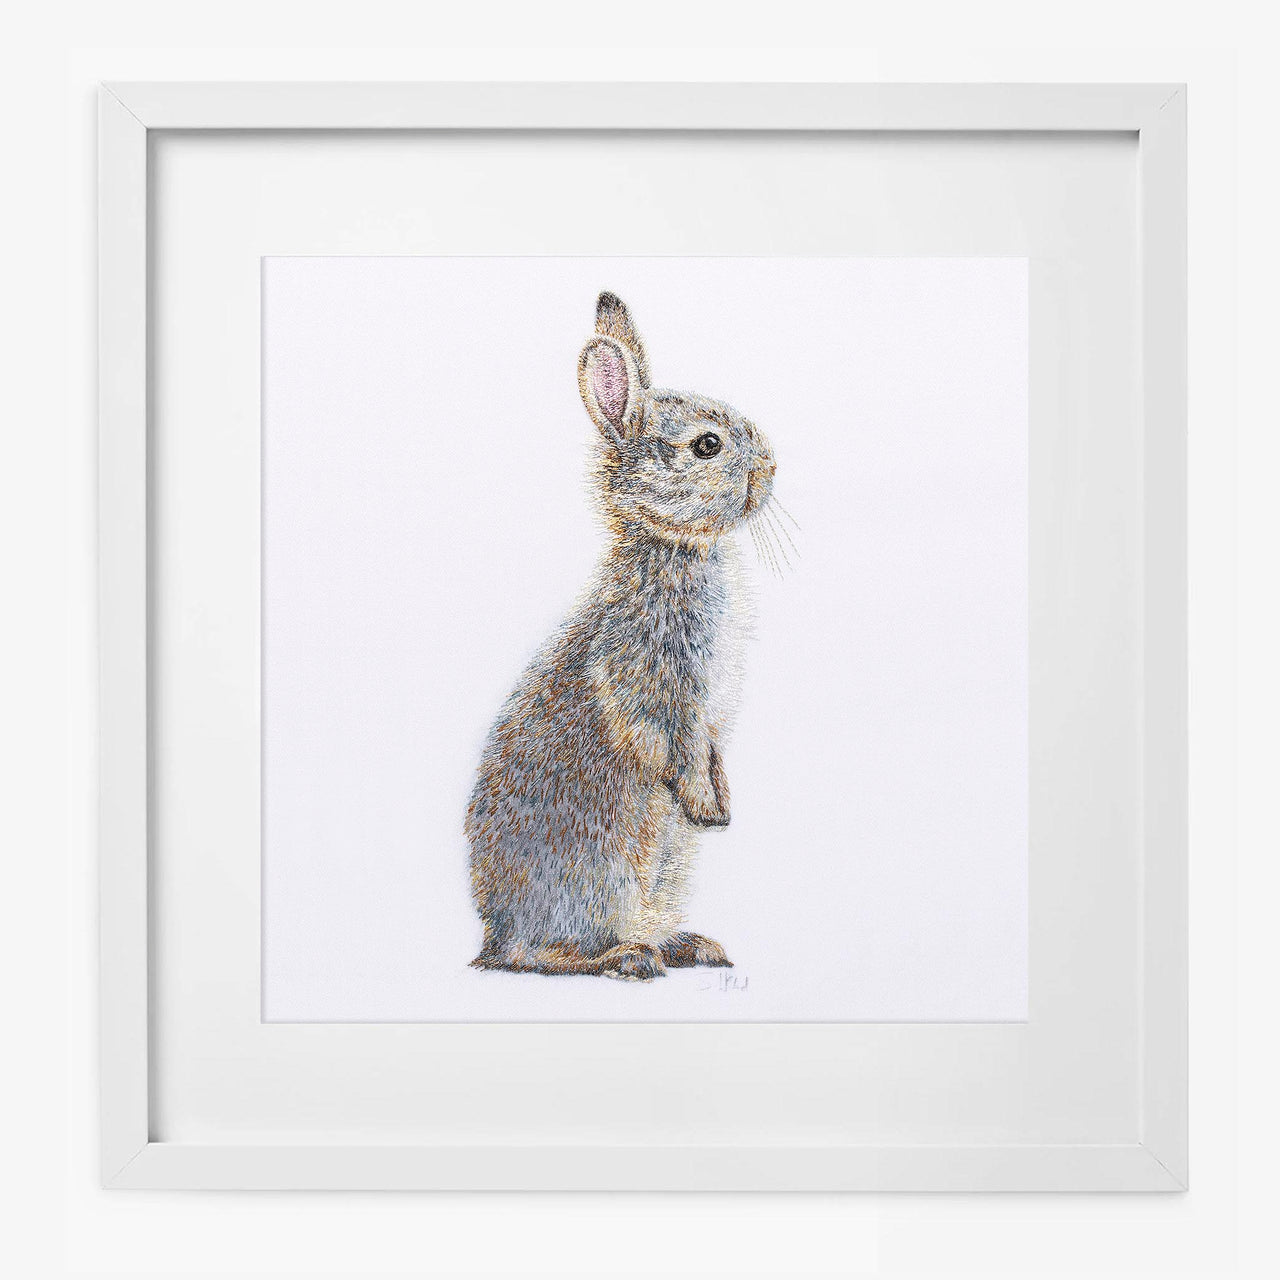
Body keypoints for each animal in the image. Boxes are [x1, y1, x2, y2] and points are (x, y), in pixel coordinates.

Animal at [465, 291, 776, 981]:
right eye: (708, 445)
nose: (772, 468)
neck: (673, 544)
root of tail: (493, 935)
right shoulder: (660, 681)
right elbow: (675, 746)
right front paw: (707, 810)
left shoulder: (710, 716)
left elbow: (711, 750)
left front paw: (723, 807)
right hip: (604, 875)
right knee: (540, 957)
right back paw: (628, 958)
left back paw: (689, 947)